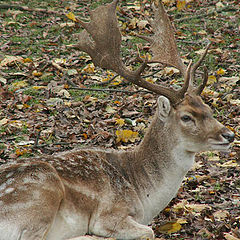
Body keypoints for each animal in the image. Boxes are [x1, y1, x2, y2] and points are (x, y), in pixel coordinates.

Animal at [0, 0, 234, 240]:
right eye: (186, 117)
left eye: (208, 108)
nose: (229, 135)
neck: (144, 195)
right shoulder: (109, 214)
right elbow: (148, 231)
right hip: (40, 192)